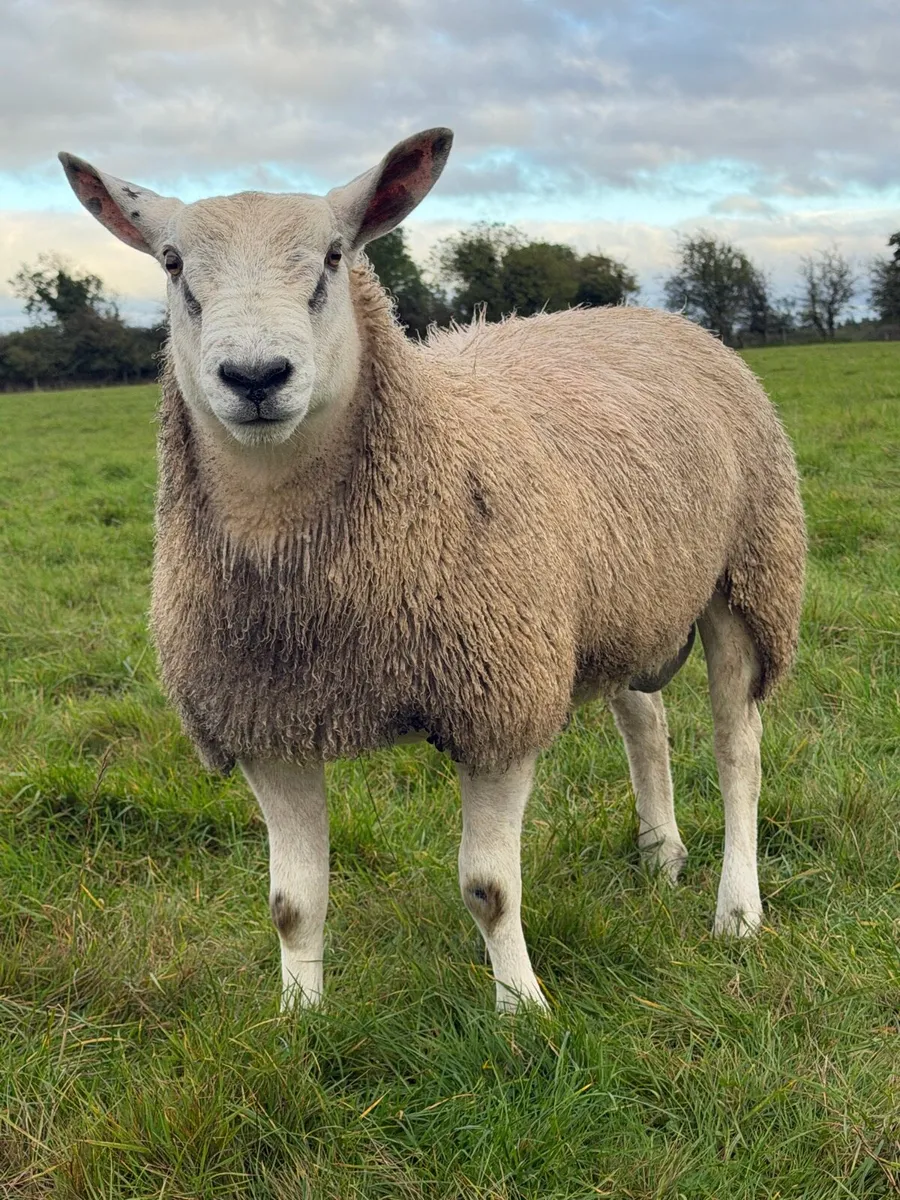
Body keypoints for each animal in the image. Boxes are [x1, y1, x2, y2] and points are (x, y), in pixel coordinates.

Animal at [59, 128, 806, 1013]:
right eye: (172, 263)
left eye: (334, 256)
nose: (255, 377)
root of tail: (633, 312)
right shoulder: (263, 719)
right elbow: (290, 904)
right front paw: (299, 1017)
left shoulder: (498, 701)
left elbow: (489, 888)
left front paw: (521, 1008)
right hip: (617, 595)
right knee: (643, 720)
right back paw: (661, 852)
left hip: (750, 575)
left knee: (737, 753)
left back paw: (738, 910)